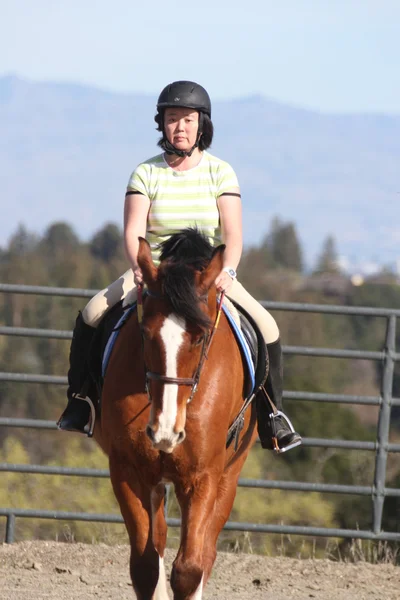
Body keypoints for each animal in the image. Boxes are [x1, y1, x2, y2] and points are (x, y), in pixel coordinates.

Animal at [96, 230, 260, 600]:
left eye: (200, 338)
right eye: (145, 333)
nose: (165, 432)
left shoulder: (203, 477)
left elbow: (189, 569)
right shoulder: (127, 470)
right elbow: (145, 567)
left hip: (229, 474)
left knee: (206, 552)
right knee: (156, 544)